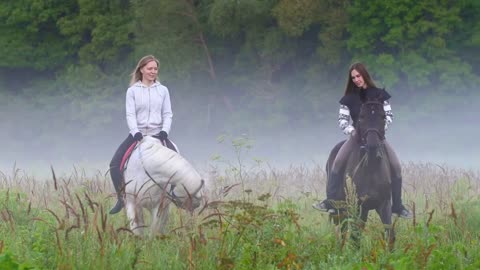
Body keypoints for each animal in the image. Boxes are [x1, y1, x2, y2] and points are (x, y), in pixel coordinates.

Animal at [326, 98, 394, 247]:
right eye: (361, 117)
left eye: (383, 117)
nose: (372, 145)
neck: (372, 169)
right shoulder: (358, 206)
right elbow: (355, 236)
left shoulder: (384, 204)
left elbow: (390, 233)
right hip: (342, 209)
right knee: (344, 231)